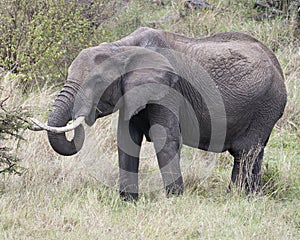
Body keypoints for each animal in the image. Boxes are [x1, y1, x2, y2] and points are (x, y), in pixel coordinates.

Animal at [31, 26, 288, 201]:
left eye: (97, 82)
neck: (122, 47)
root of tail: (276, 63)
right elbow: (127, 140)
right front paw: (128, 202)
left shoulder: (168, 89)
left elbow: (166, 138)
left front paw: (175, 199)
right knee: (254, 152)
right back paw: (251, 196)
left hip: (267, 103)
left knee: (246, 152)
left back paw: (236, 197)